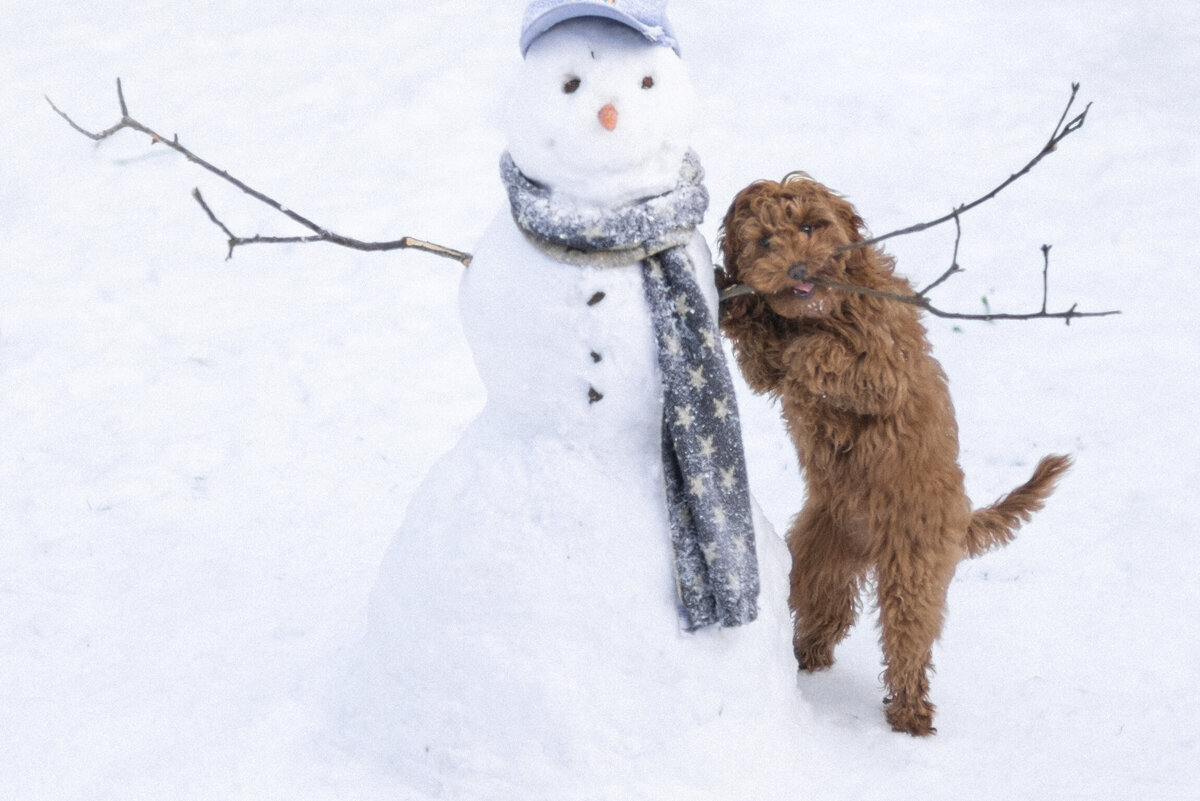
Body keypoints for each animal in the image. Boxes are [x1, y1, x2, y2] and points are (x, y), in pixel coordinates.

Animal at [715, 172, 1075, 733]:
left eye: (810, 227)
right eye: (765, 242)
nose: (798, 270)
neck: (821, 311)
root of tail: (961, 517)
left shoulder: (887, 365)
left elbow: (827, 357)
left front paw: (802, 347)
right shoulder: (766, 367)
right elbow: (762, 355)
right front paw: (736, 301)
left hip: (914, 565)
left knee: (907, 638)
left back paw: (910, 713)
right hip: (820, 555)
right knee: (825, 610)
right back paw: (806, 657)